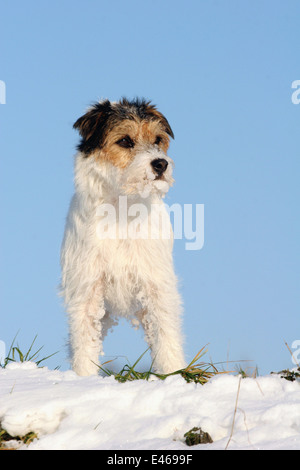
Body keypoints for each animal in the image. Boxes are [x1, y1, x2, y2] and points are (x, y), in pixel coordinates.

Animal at [59, 97, 184, 376]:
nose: (160, 164)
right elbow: (85, 342)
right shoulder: (88, 289)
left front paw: (175, 373)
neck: (123, 209)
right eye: (125, 141)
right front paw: (84, 378)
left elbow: (166, 336)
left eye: (158, 139)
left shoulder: (155, 285)